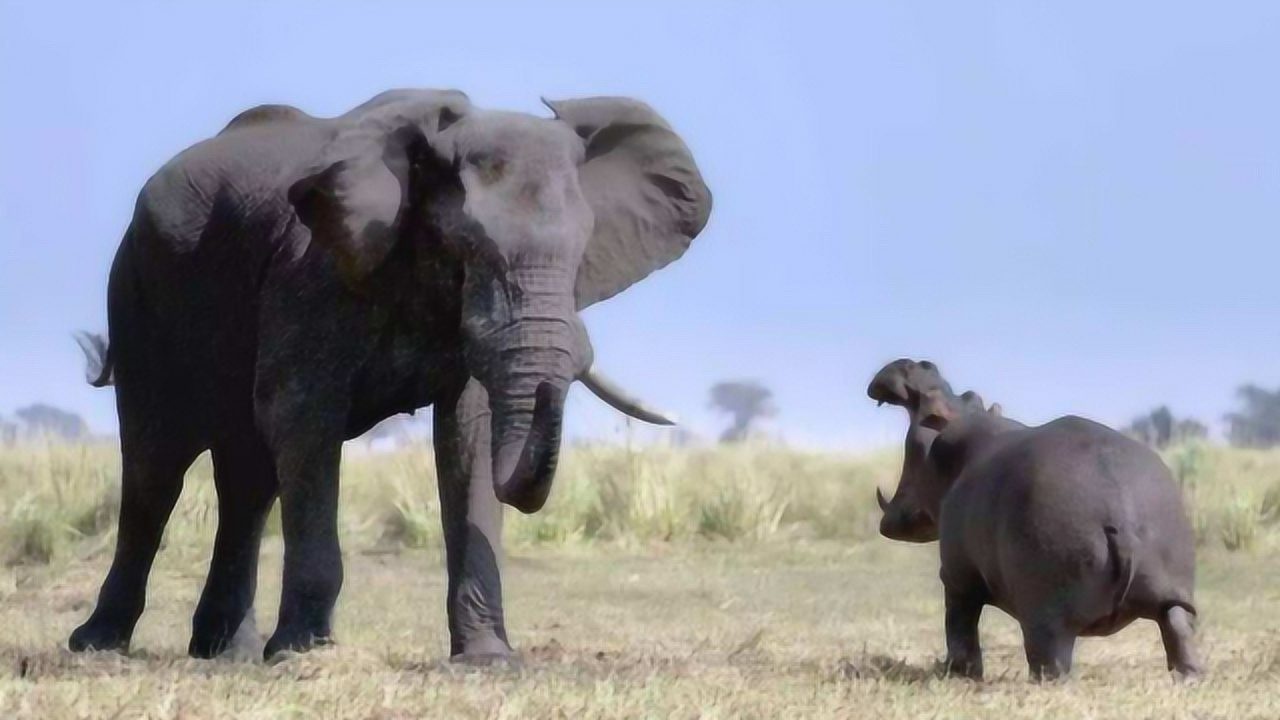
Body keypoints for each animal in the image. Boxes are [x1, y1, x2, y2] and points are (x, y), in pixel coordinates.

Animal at [70, 87, 716, 661]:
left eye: (583, 252)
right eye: (468, 246)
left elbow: (469, 435)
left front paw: (488, 660)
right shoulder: (312, 271)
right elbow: (301, 416)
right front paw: (303, 655)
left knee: (247, 480)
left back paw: (227, 653)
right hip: (139, 291)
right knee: (157, 465)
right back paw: (99, 646)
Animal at [865, 358, 1203, 676]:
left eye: (930, 402)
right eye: (971, 395)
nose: (919, 364)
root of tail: (1119, 512)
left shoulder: (956, 576)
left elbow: (959, 626)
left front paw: (955, 671)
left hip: (1046, 615)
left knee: (1049, 660)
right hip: (1172, 592)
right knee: (1178, 629)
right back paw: (1188, 677)